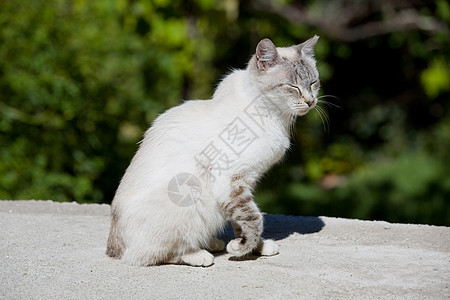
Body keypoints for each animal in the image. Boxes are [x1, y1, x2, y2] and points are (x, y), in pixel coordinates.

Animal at [107, 35, 322, 268]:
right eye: (292, 86)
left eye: (313, 83)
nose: (311, 101)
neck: (275, 117)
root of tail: (113, 247)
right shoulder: (230, 178)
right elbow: (254, 218)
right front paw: (241, 248)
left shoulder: (246, 182)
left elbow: (242, 220)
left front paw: (256, 247)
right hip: (190, 195)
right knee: (156, 254)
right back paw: (199, 254)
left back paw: (213, 243)